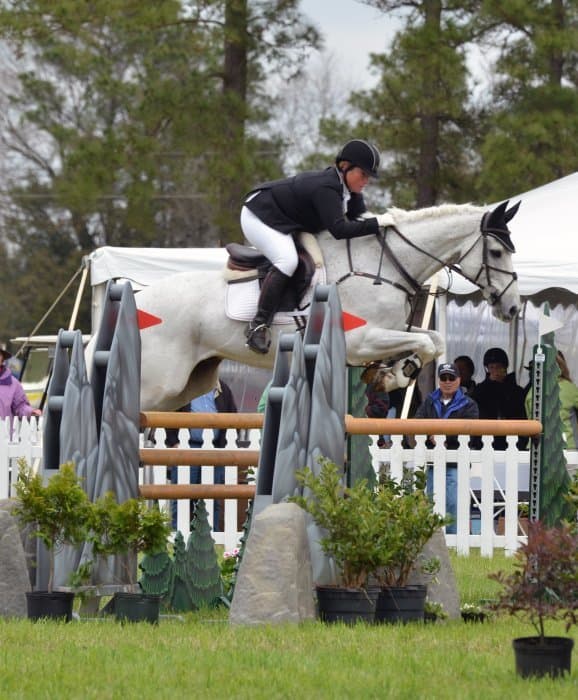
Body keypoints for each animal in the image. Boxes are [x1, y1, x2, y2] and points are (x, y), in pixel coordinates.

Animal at [135, 200, 521, 410]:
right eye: (496, 252)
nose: (514, 309)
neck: (386, 264)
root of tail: (139, 298)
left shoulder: (393, 329)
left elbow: (434, 341)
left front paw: (393, 372)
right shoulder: (361, 340)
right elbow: (425, 341)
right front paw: (396, 373)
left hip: (189, 383)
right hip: (161, 383)